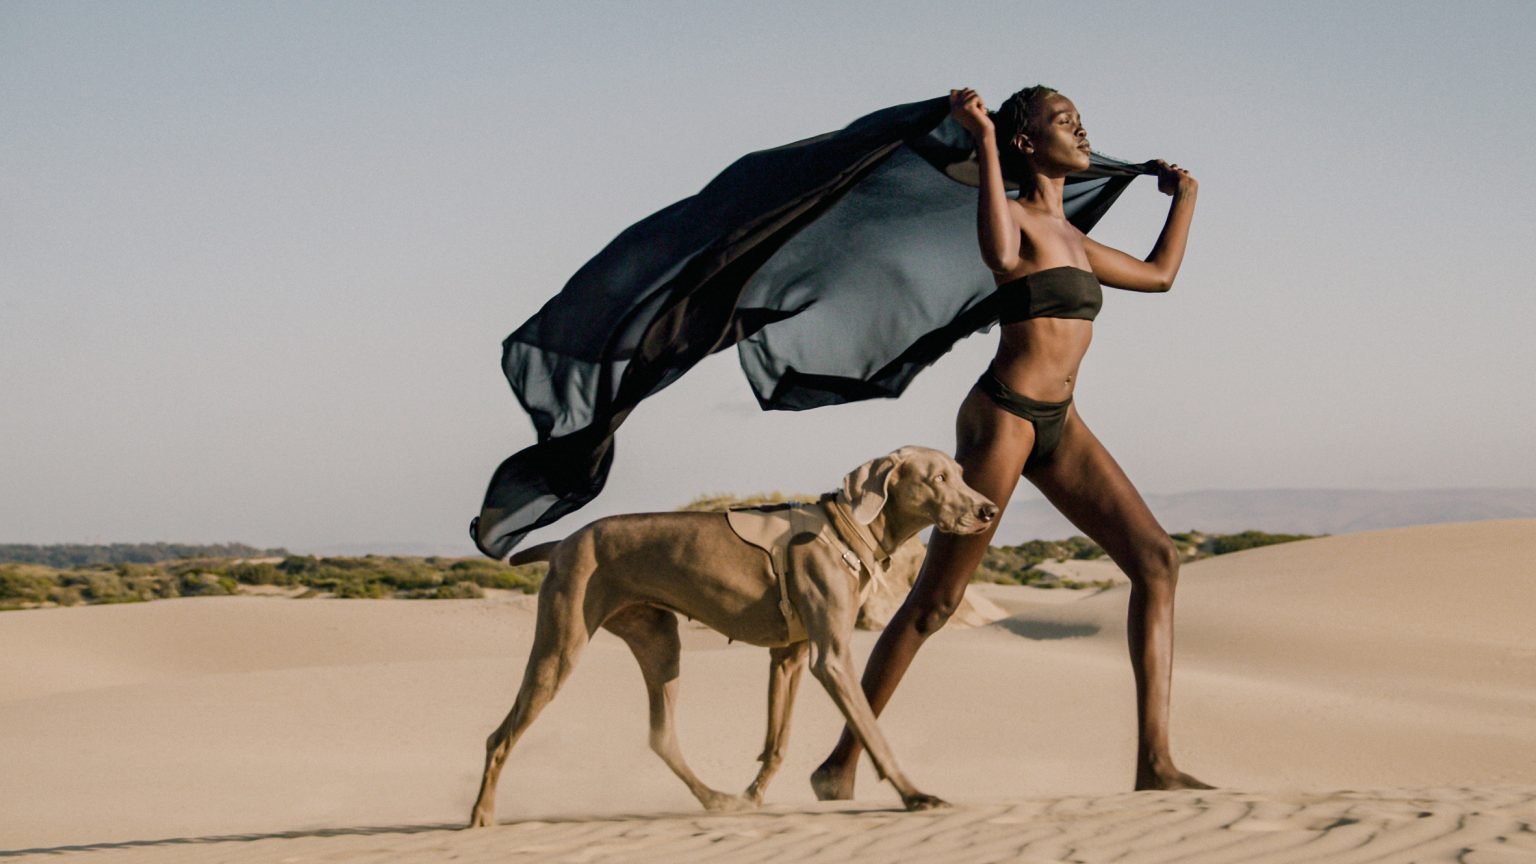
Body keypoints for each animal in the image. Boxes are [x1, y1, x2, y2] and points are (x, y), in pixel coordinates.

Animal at [466, 439, 995, 824]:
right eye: (937, 478)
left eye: (962, 474)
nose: (989, 509)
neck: (846, 529)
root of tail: (562, 542)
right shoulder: (832, 657)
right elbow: (872, 731)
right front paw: (916, 795)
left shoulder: (790, 656)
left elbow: (778, 742)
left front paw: (752, 797)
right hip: (562, 646)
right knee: (499, 736)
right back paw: (482, 816)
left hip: (658, 639)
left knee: (662, 736)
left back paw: (717, 800)